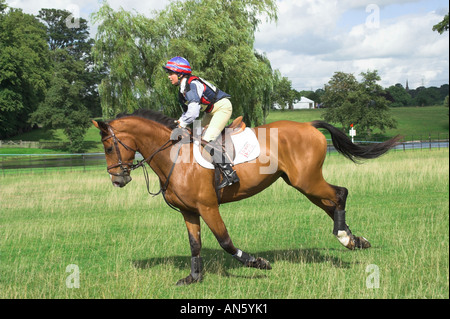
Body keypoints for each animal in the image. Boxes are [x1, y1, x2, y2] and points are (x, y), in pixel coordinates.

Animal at [92, 109, 400, 286]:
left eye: (107, 146)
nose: (117, 179)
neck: (174, 156)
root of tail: (308, 125)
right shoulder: (189, 212)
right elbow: (195, 245)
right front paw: (193, 278)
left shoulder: (208, 206)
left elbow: (225, 242)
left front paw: (257, 262)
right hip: (302, 184)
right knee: (332, 204)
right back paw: (352, 239)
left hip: (307, 181)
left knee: (339, 194)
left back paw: (345, 237)